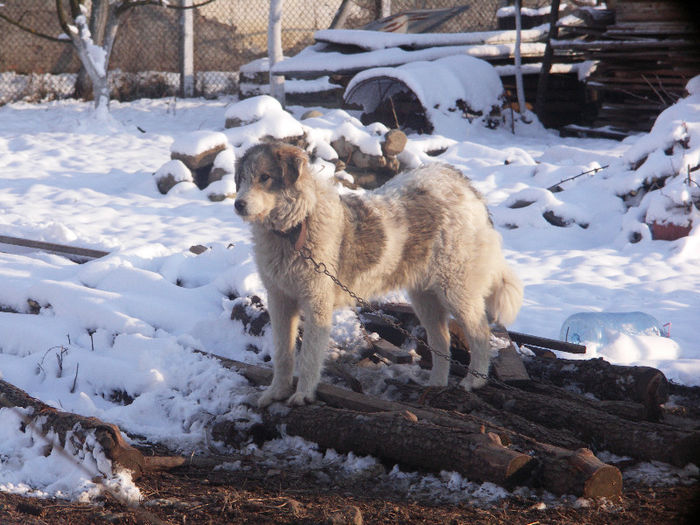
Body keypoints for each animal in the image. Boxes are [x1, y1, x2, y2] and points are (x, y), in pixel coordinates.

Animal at [234, 140, 520, 406]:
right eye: (242, 179)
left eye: (265, 177)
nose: (238, 204)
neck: (293, 229)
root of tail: (461, 182)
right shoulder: (280, 300)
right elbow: (283, 354)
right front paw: (276, 392)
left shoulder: (317, 304)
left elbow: (308, 357)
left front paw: (303, 395)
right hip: (425, 299)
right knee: (441, 342)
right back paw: (436, 383)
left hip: (456, 290)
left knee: (480, 334)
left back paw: (474, 380)